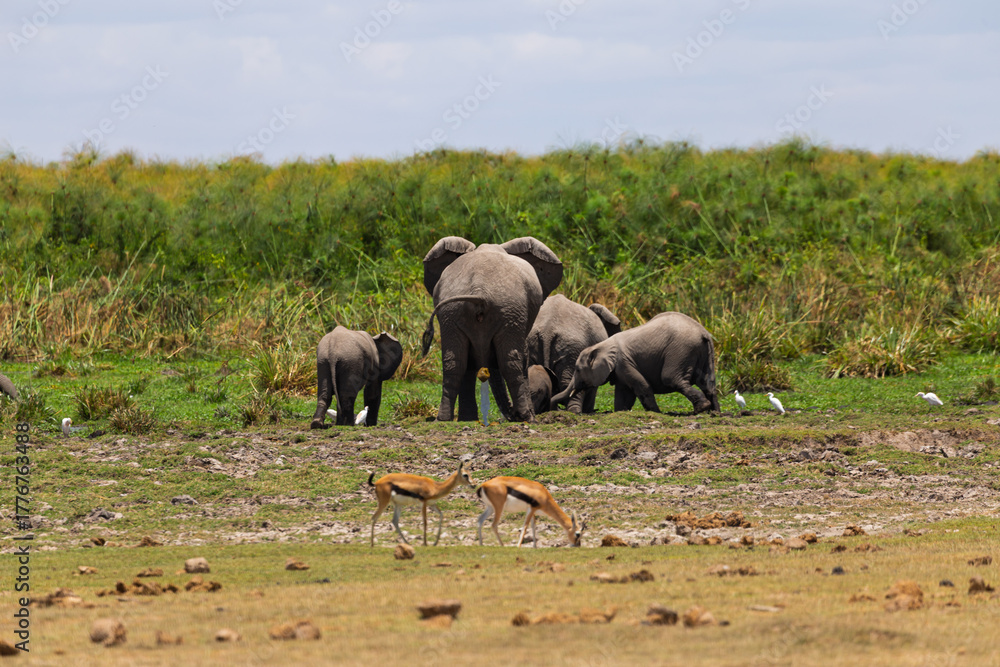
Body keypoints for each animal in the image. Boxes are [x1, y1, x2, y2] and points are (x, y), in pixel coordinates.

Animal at [421, 236, 563, 422]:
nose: (512, 416)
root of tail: (479, 290)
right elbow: (522, 358)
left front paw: (467, 419)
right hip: (509, 310)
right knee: (510, 362)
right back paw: (527, 418)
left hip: (452, 312)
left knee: (454, 362)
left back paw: (444, 419)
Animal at [551, 312, 719, 415]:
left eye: (578, 370)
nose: (554, 408)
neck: (602, 345)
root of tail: (703, 333)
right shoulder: (619, 369)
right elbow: (623, 394)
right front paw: (621, 412)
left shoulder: (623, 362)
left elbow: (642, 385)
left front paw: (656, 413)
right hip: (705, 352)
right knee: (708, 383)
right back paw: (714, 412)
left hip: (681, 351)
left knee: (671, 378)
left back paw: (701, 409)